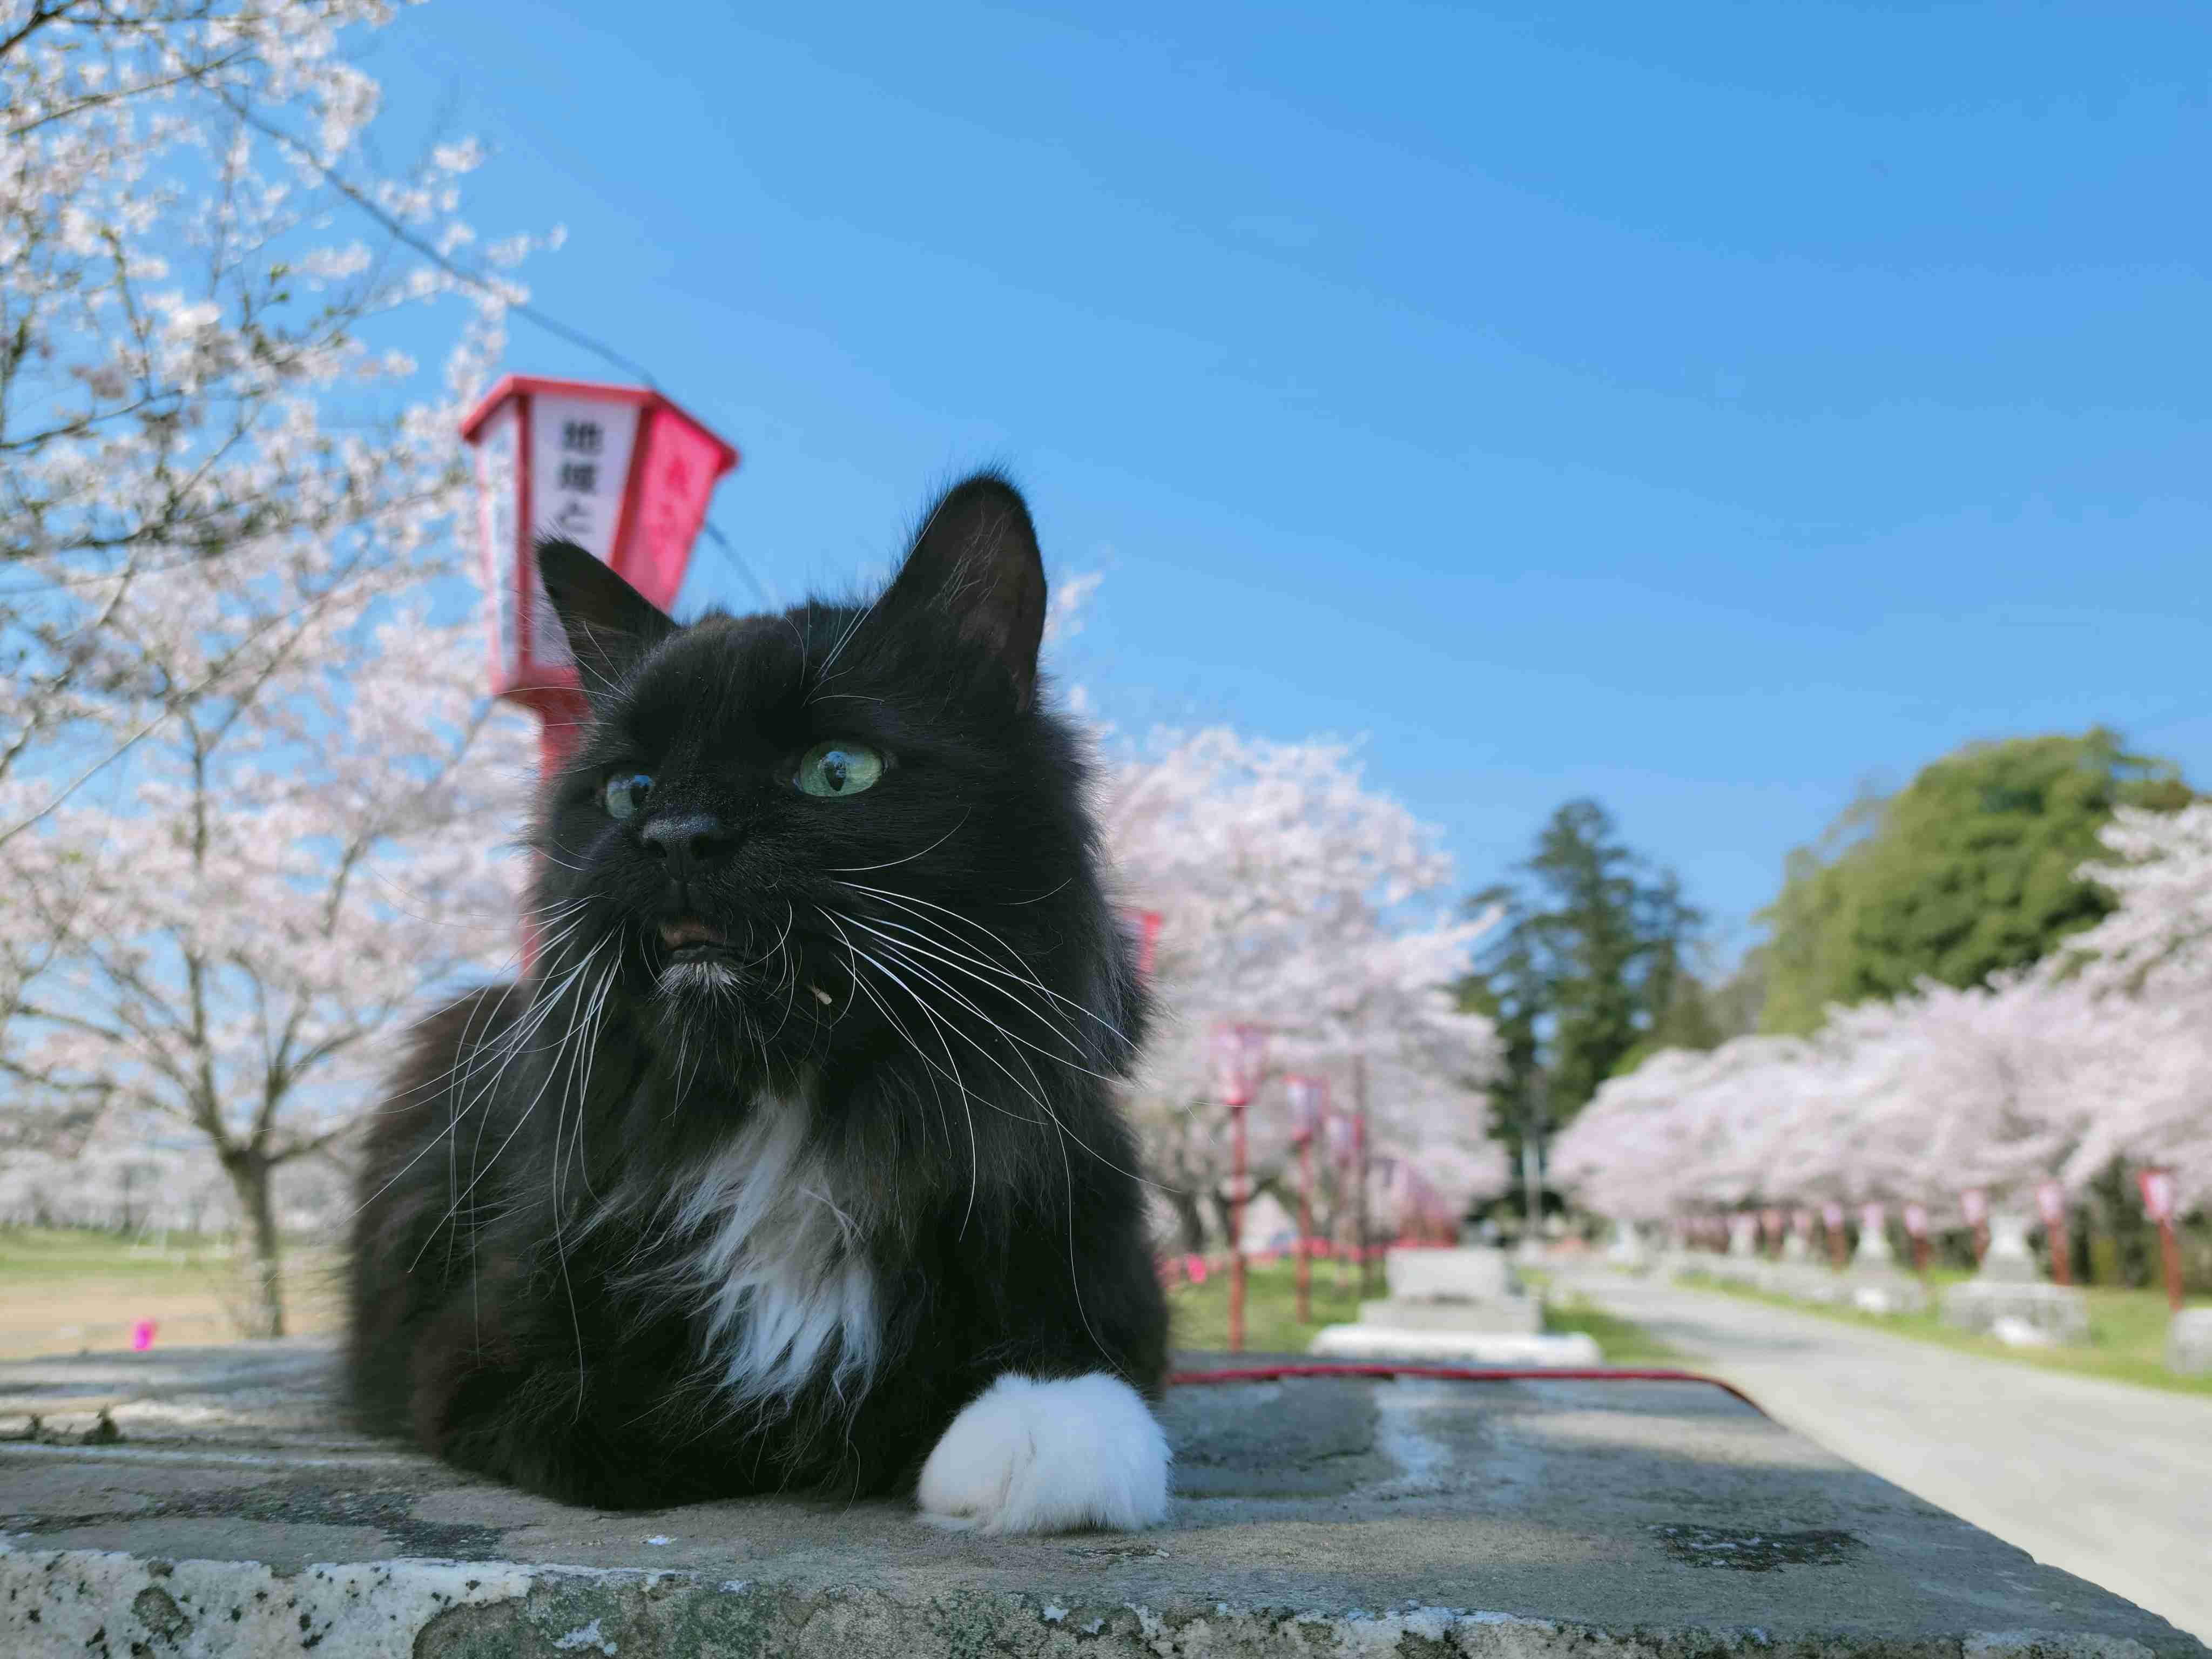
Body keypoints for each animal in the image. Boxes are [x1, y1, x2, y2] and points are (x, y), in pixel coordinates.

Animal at [345, 471, 1177, 1530]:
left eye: (837, 771)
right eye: (630, 790)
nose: (679, 834)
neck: (791, 1113)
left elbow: (1074, 1381)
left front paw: (1027, 1426)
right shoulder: (479, 1343)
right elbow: (610, 1409)